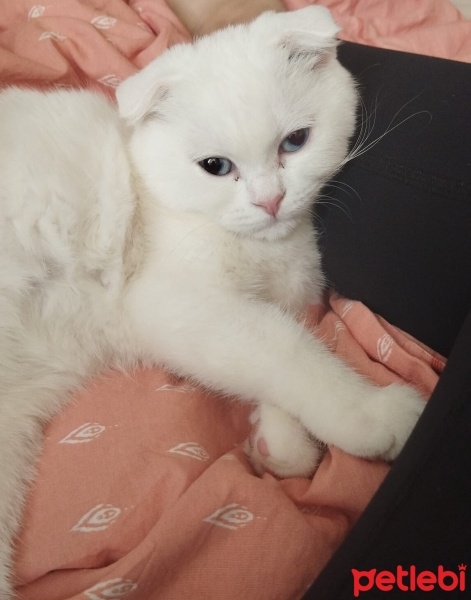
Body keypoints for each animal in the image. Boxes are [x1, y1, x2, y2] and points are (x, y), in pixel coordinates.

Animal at [0, 7, 426, 596]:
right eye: (215, 167)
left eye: (295, 142)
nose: (271, 200)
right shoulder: (178, 305)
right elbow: (287, 351)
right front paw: (370, 413)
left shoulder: (285, 292)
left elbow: (285, 334)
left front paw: (279, 442)